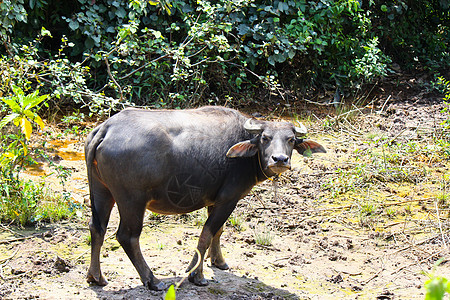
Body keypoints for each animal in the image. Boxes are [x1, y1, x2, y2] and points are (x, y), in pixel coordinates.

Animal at [84, 106, 326, 290]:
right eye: (265, 138)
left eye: (291, 139)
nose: (280, 159)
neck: (244, 153)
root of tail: (106, 128)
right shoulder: (228, 199)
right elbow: (207, 233)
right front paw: (196, 275)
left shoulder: (216, 200)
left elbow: (218, 231)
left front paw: (219, 261)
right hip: (132, 200)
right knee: (127, 236)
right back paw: (152, 280)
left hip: (102, 191)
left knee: (97, 228)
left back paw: (96, 277)